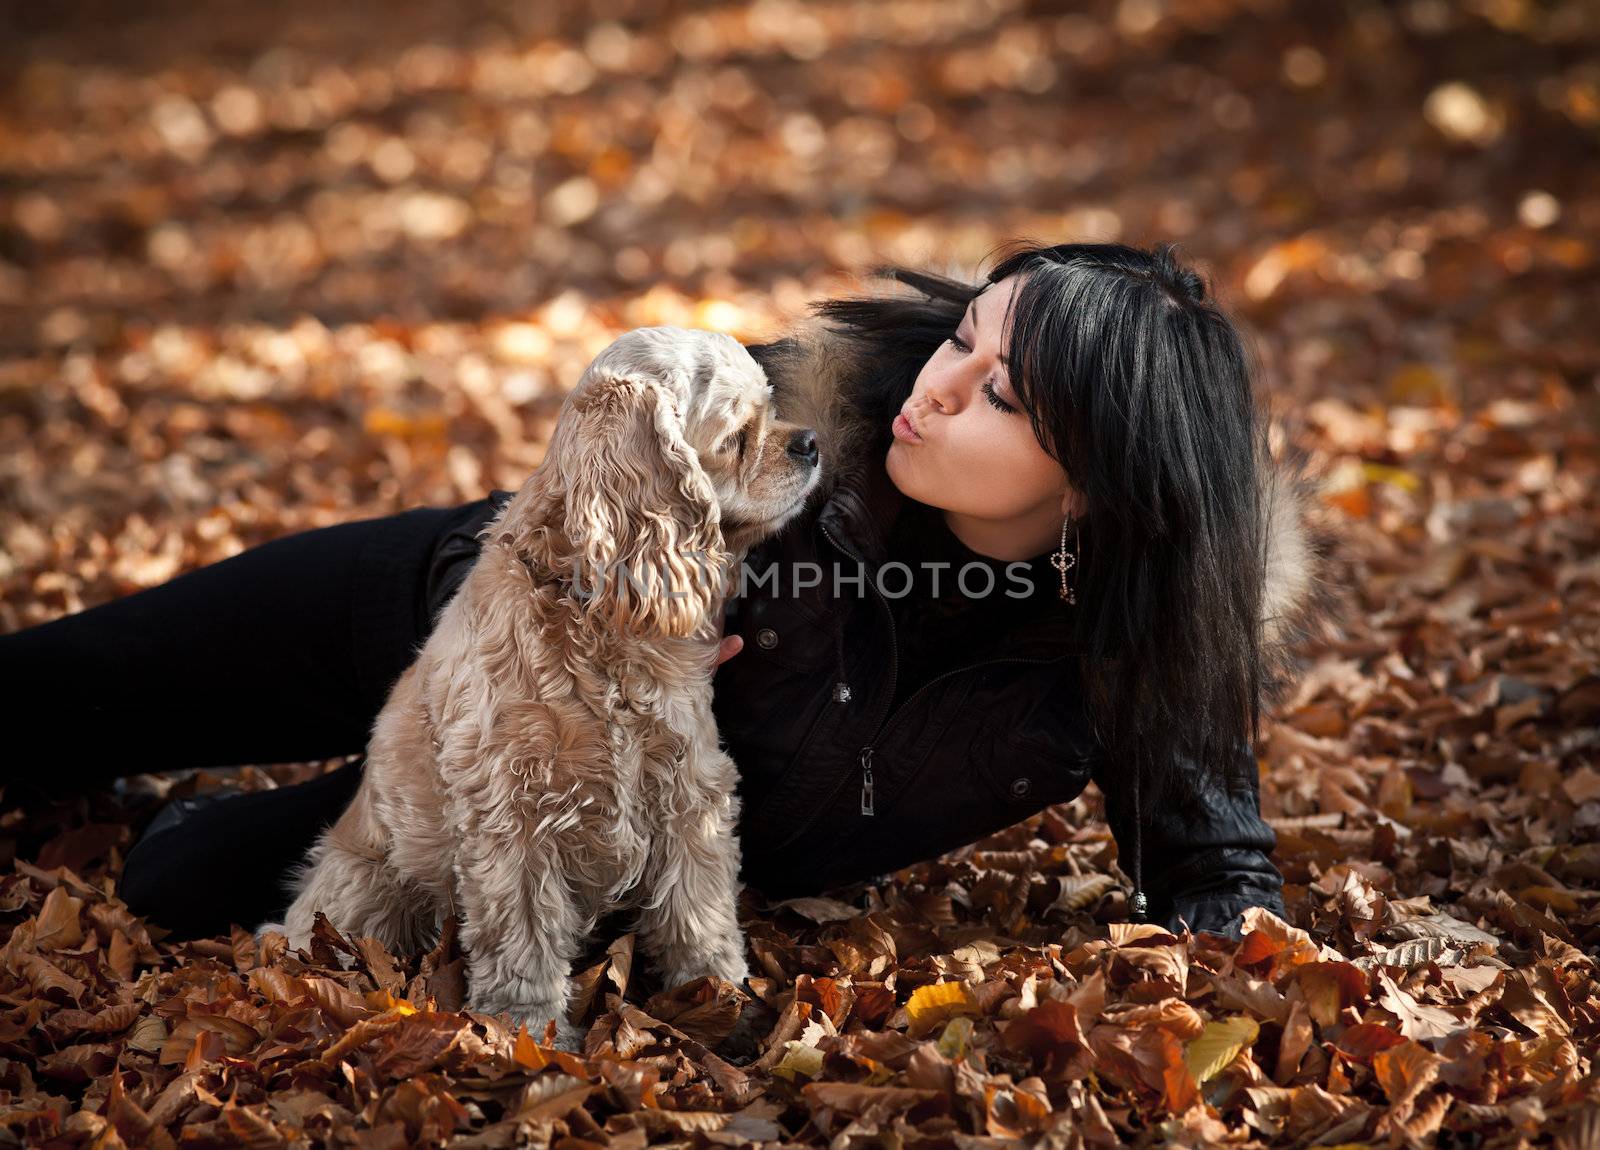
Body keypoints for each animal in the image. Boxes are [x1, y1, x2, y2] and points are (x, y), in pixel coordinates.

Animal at [259, 323, 825, 1055]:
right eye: (736, 435)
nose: (811, 442)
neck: (598, 624)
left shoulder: (690, 788)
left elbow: (698, 915)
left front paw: (722, 1003)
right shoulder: (515, 815)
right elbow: (522, 937)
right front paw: (529, 1034)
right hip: (367, 891)